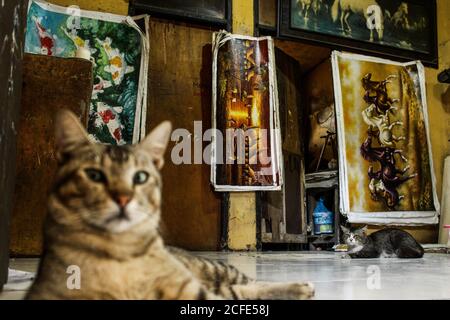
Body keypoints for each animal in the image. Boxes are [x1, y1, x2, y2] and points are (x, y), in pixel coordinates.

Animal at [26, 110, 314, 300]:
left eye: (140, 177)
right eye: (94, 175)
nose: (123, 199)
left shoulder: (192, 291)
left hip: (215, 269)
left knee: (250, 284)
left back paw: (301, 287)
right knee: (241, 291)